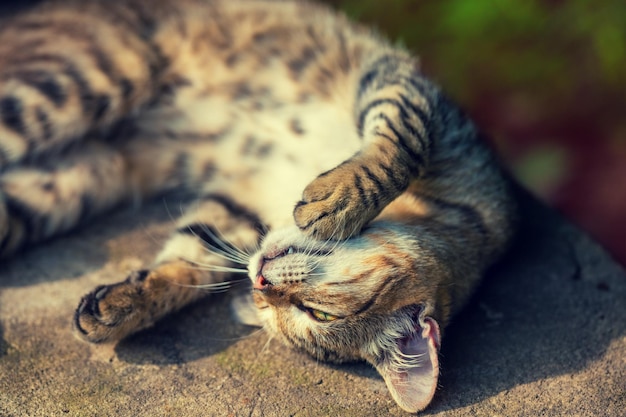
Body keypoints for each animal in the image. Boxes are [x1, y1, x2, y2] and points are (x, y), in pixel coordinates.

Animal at [0, 0, 516, 410]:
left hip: (72, 180)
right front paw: (340, 199)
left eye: (307, 316)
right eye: (323, 316)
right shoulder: (410, 94)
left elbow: (191, 259)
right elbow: (399, 146)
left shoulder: (238, 206)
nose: (261, 285)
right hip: (72, 84)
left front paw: (129, 304)